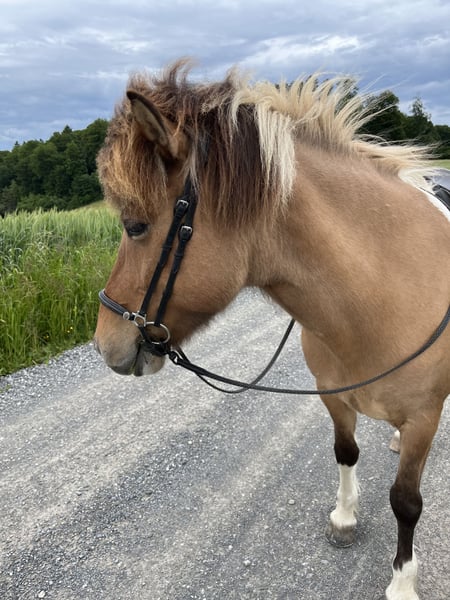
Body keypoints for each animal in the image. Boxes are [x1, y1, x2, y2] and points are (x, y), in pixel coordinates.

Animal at [94, 59, 450, 600]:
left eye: (135, 226)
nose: (102, 343)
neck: (381, 298)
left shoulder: (424, 419)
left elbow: (406, 501)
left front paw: (403, 582)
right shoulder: (332, 396)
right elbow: (346, 452)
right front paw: (344, 517)